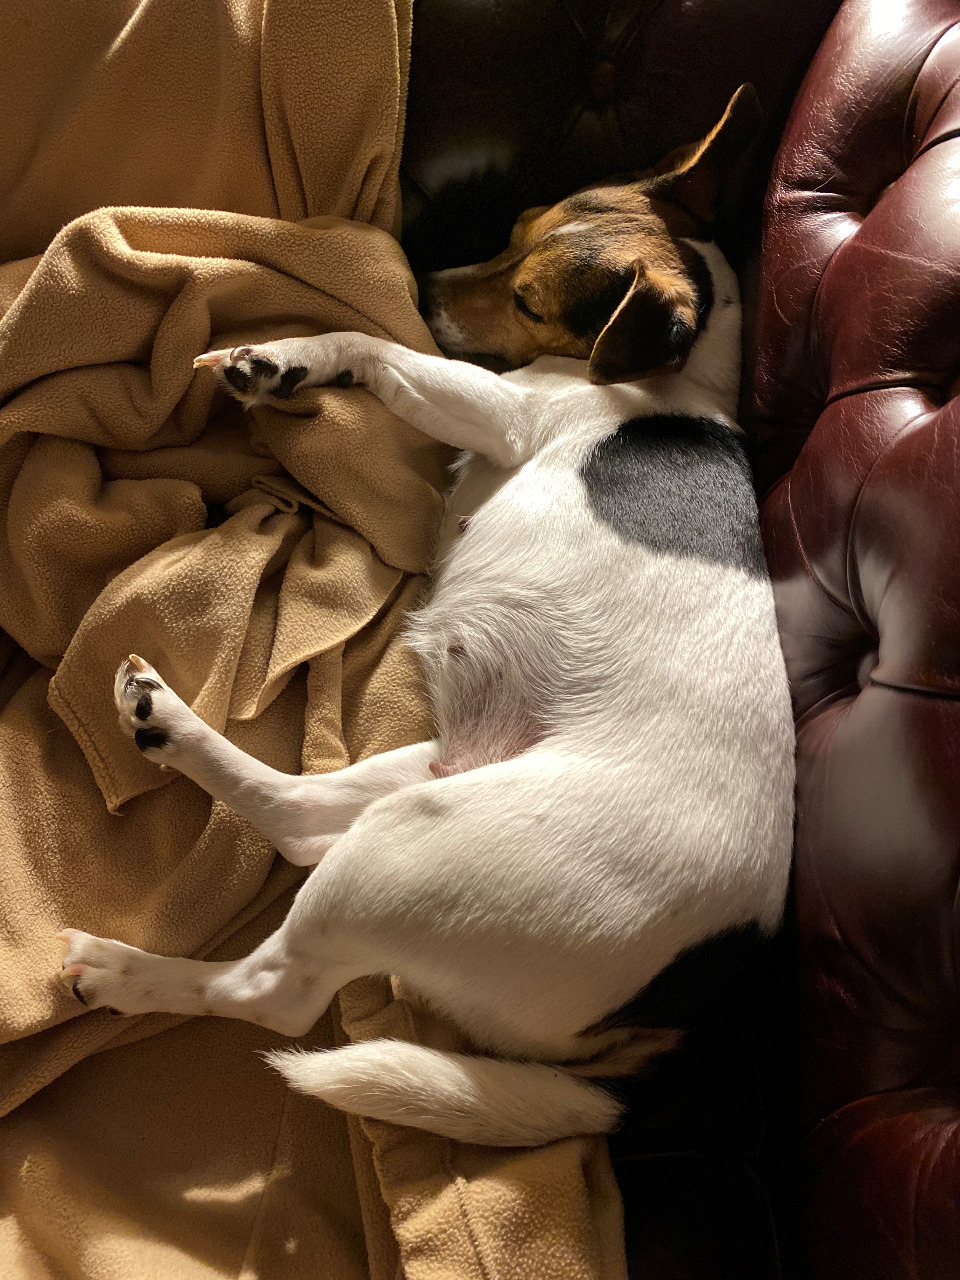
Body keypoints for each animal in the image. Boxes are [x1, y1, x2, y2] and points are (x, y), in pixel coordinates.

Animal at [57, 85, 795, 1147]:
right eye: (515, 226)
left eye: (531, 302)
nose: (421, 274)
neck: (677, 379)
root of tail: (668, 1027)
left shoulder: (505, 415)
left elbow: (379, 349)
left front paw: (286, 359)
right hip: (429, 781)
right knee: (295, 821)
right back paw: (166, 726)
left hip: (420, 846)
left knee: (272, 992)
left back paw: (125, 970)